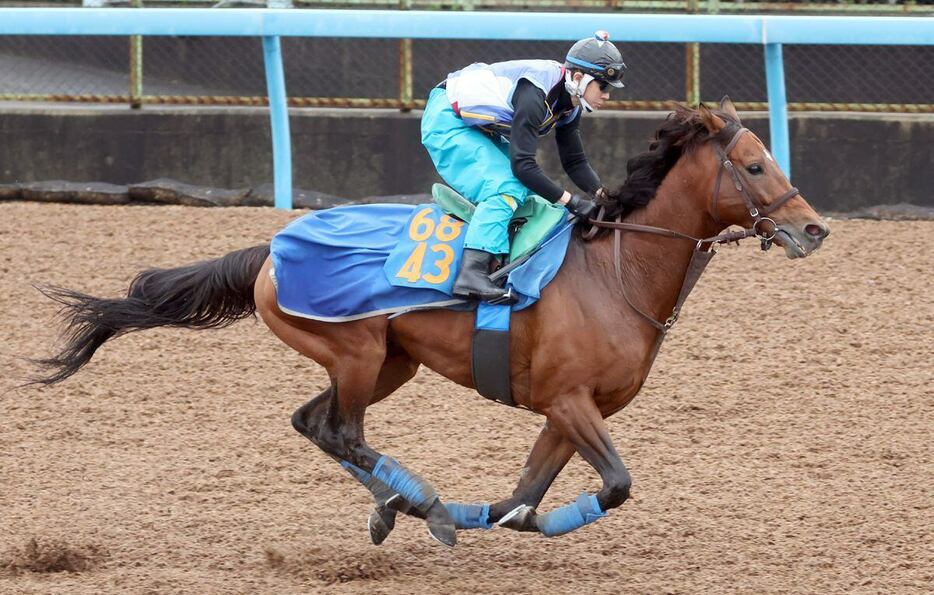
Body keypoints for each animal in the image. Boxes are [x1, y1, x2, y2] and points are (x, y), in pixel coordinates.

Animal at [33, 99, 828, 548]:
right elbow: (616, 484)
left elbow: (527, 494)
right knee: (341, 431)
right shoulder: (571, 400)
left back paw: (401, 507)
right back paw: (422, 506)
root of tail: (271, 249)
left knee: (311, 421)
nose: (814, 229)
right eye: (754, 165)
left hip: (390, 361)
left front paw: (508, 517)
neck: (616, 270)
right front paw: (485, 516)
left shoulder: (566, 410)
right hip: (354, 352)